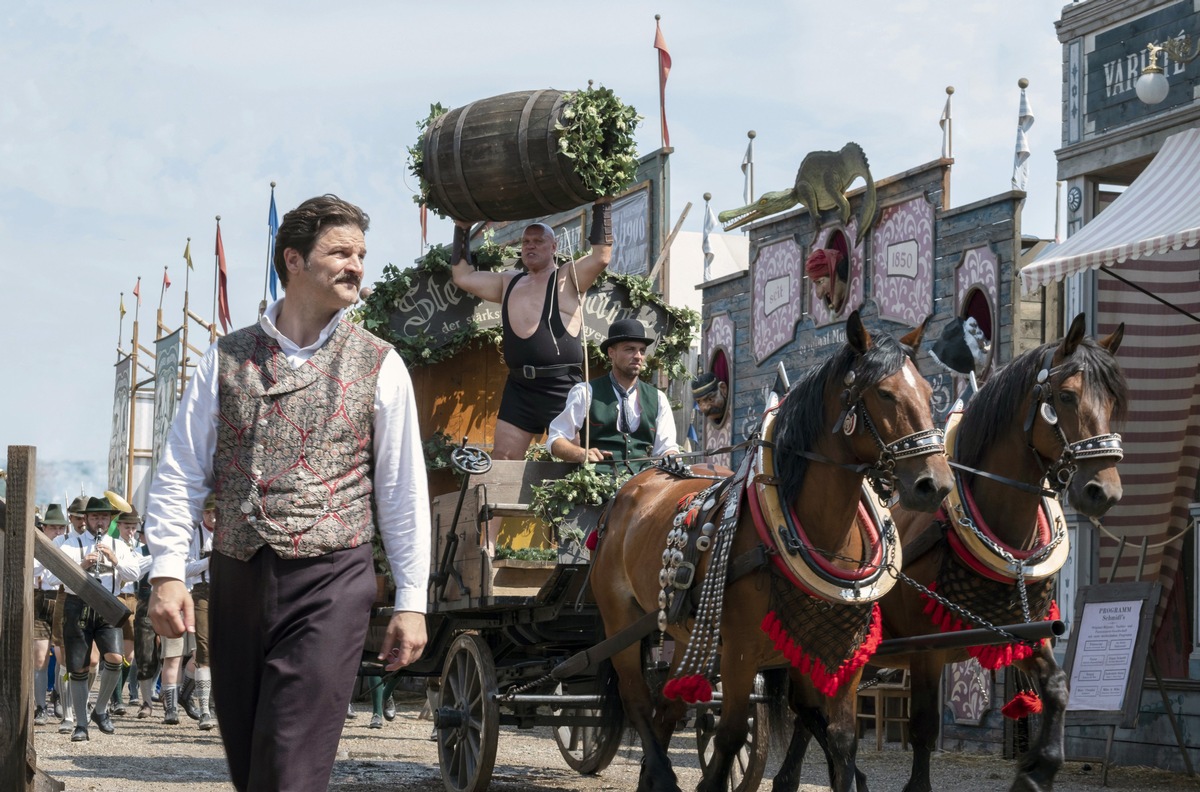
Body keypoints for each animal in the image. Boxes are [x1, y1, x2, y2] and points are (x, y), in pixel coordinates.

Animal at [590, 312, 955, 792]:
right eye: (885, 393)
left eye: (930, 394)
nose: (936, 485)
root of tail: (630, 486)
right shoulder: (740, 654)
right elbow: (729, 737)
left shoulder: (840, 654)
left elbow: (841, 741)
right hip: (621, 623)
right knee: (637, 701)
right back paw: (664, 775)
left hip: (688, 634)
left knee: (666, 708)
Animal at [772, 314, 1128, 792]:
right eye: (1067, 396)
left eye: (1112, 400)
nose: (1103, 491)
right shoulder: (927, 649)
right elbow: (923, 727)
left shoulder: (1027, 629)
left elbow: (1057, 688)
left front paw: (1038, 769)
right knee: (808, 708)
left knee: (808, 711)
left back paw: (798, 775)